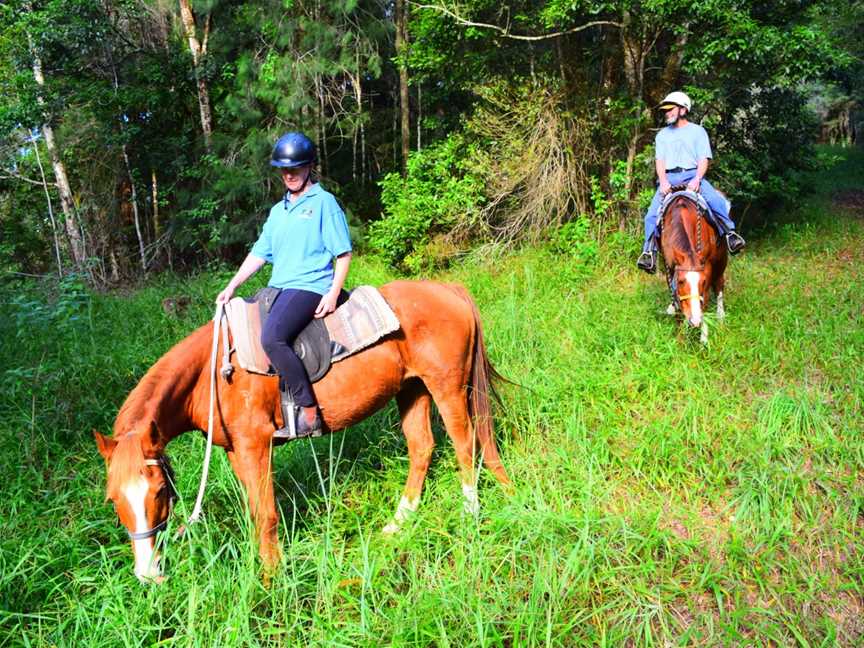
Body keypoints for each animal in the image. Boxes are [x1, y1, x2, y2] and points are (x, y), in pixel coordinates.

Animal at [94, 280, 510, 584]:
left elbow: (266, 514)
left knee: (465, 443)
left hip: (446, 386)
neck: (211, 374)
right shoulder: (236, 451)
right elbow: (254, 511)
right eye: (113, 499)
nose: (148, 573)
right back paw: (398, 522)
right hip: (412, 390)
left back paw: (469, 514)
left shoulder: (256, 444)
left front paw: (271, 580)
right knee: (422, 447)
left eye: (159, 491)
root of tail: (449, 289)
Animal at [660, 191, 728, 344]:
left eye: (703, 282)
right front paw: (681, 335)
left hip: (721, 261)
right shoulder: (669, 265)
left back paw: (720, 315)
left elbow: (705, 299)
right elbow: (675, 295)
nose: (695, 320)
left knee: (719, 284)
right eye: (680, 281)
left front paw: (703, 338)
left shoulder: (707, 267)